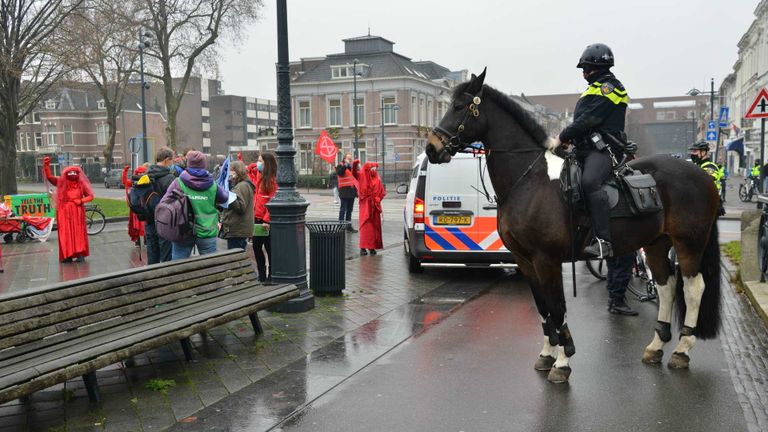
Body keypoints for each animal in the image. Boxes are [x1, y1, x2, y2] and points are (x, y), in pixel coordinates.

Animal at [426, 69, 720, 384]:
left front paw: (563, 360)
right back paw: (656, 346)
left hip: (689, 243)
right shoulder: (525, 260)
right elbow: (543, 307)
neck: (530, 181)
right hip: (656, 243)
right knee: (667, 286)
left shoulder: (546, 259)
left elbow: (557, 307)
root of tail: (701, 175)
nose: (432, 147)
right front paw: (547, 354)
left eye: (459, 107)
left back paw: (682, 349)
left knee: (694, 288)